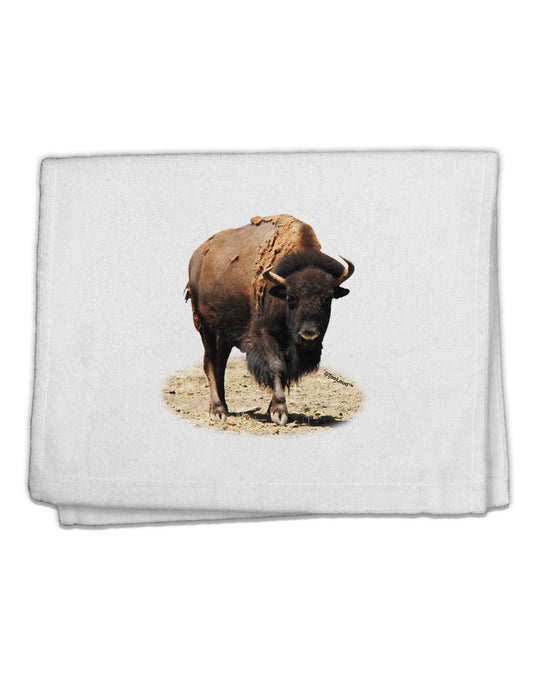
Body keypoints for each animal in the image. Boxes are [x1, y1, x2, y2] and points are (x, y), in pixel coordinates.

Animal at [185, 214, 354, 425]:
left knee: (220, 364)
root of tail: (196, 258)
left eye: (328, 298)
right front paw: (279, 412)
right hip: (205, 326)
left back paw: (223, 407)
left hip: (225, 334)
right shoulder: (263, 334)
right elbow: (276, 366)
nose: (308, 336)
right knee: (209, 363)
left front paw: (272, 408)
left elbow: (285, 371)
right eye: (291, 297)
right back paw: (218, 411)